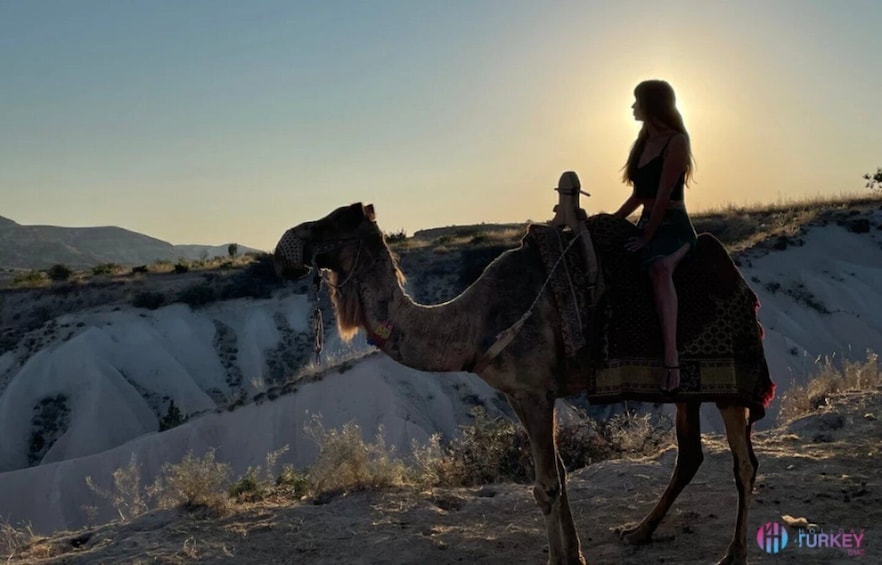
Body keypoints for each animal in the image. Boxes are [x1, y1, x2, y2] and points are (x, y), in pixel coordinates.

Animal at [274, 203, 768, 564]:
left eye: (334, 220)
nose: (282, 246)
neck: (475, 325)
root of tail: (737, 274)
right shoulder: (519, 395)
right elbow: (560, 476)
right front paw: (576, 556)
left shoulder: (534, 393)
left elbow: (547, 486)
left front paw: (561, 560)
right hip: (685, 387)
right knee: (690, 454)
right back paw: (638, 532)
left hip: (730, 384)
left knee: (744, 462)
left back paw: (733, 554)